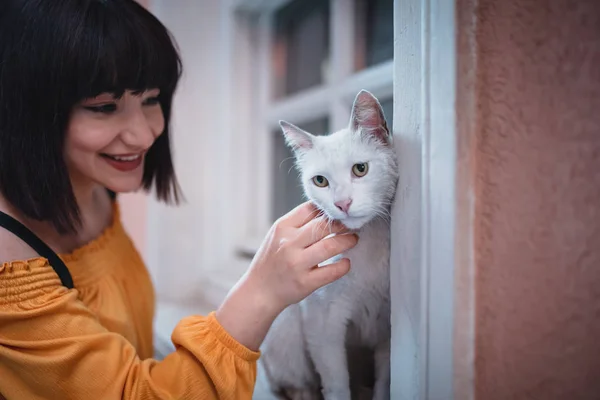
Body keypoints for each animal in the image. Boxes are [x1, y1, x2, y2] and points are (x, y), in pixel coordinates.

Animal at [258, 90, 396, 400]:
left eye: (360, 169)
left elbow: (384, 383)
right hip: (287, 332)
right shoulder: (323, 322)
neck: (368, 244)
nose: (342, 203)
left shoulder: (388, 331)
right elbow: (335, 382)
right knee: (295, 383)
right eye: (320, 181)